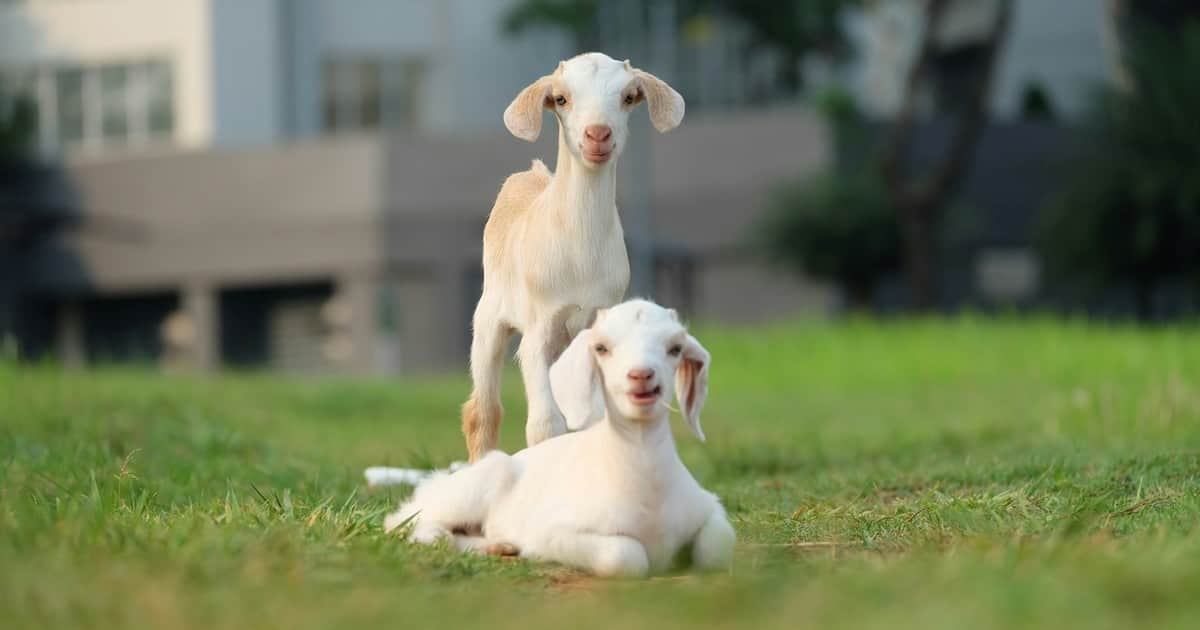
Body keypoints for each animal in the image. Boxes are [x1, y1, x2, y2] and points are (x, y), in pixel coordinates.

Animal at [387, 299, 735, 577]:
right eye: (601, 348)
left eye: (675, 348)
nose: (641, 376)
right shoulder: (556, 531)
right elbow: (626, 556)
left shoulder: (708, 507)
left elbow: (717, 547)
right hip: (468, 489)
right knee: (404, 520)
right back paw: (442, 538)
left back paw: (500, 546)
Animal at [462, 53, 686, 462]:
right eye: (562, 99)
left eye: (628, 97)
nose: (597, 134)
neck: (580, 253)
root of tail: (531, 174)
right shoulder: (539, 327)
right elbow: (544, 425)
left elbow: (593, 420)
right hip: (488, 321)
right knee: (483, 412)